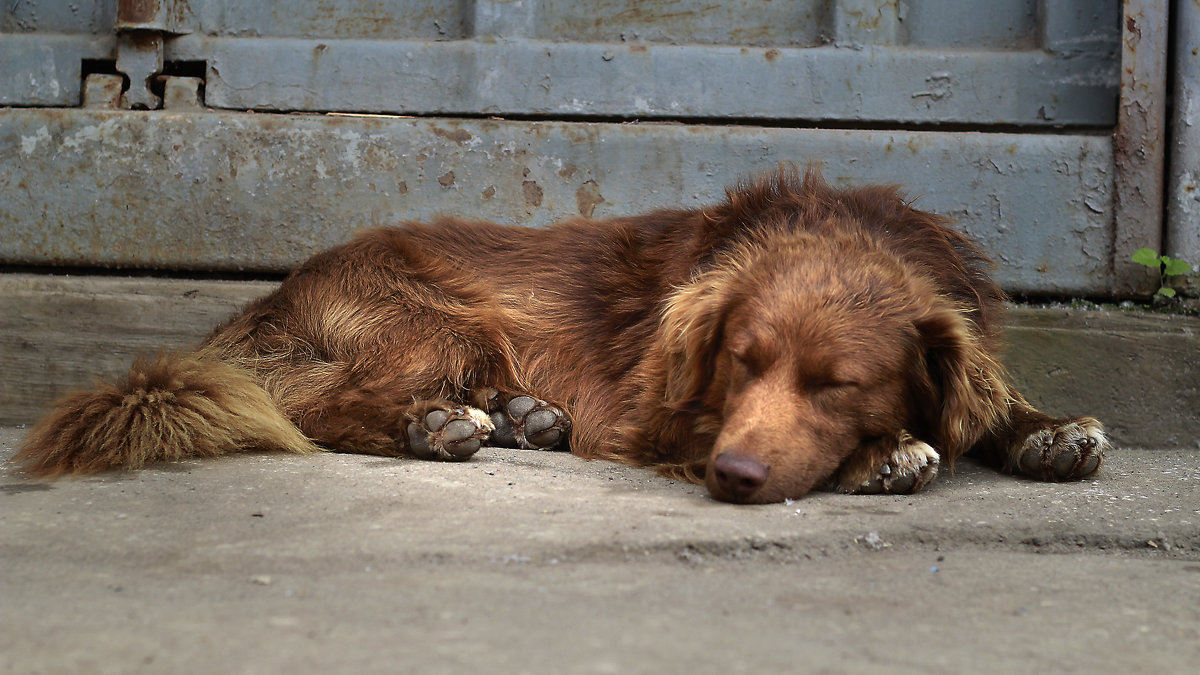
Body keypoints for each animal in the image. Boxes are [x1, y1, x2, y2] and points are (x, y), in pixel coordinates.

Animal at [9, 165, 1099, 502]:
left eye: (840, 383)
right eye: (738, 364)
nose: (734, 479)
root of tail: (270, 299)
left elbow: (990, 396)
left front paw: (1045, 429)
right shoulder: (652, 415)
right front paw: (886, 454)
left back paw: (522, 415)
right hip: (430, 318)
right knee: (322, 405)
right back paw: (440, 427)